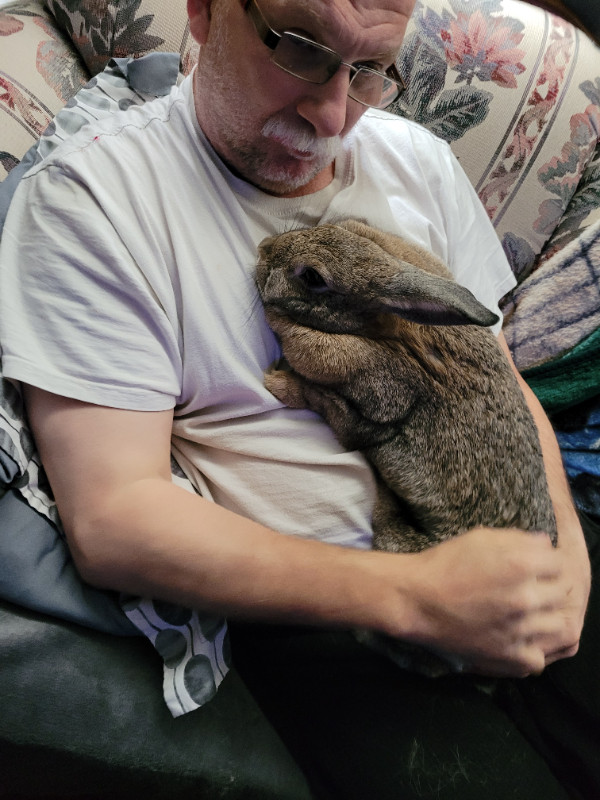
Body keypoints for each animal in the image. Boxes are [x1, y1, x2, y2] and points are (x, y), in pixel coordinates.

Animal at [254, 217, 556, 676]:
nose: (263, 250)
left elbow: (329, 391)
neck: (391, 328)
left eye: (312, 277)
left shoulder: (376, 403)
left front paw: (278, 375)